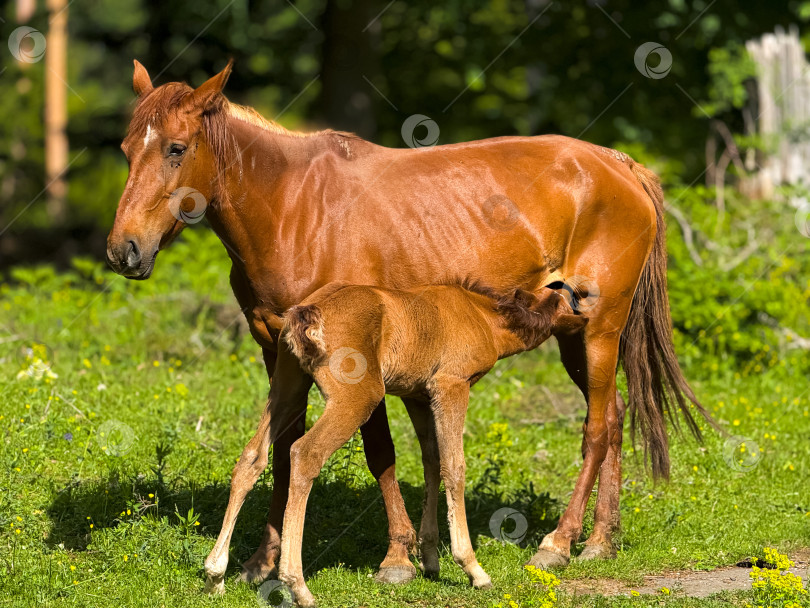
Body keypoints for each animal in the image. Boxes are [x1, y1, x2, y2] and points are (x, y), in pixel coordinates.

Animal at [211, 282, 584, 604]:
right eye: (568, 300)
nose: (586, 319)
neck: (485, 316)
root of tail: (306, 312)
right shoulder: (451, 385)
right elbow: (455, 467)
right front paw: (472, 569)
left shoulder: (418, 396)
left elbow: (432, 461)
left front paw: (430, 559)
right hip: (357, 397)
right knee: (305, 453)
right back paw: (297, 585)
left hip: (287, 385)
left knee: (252, 457)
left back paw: (215, 574)